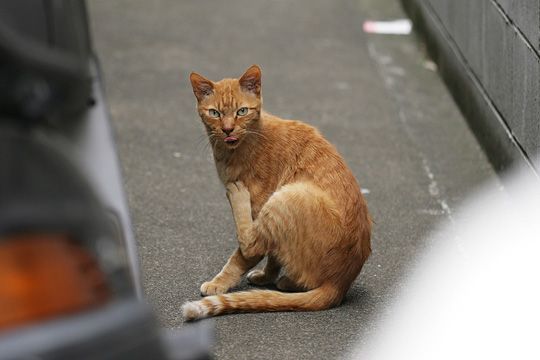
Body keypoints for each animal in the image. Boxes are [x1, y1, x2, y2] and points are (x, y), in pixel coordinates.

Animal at [182, 65, 372, 320]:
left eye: (242, 111)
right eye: (214, 113)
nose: (228, 129)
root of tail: (339, 284)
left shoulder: (261, 206)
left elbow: (242, 257)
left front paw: (218, 283)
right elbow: (273, 256)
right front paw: (266, 276)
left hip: (286, 195)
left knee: (252, 243)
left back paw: (236, 195)